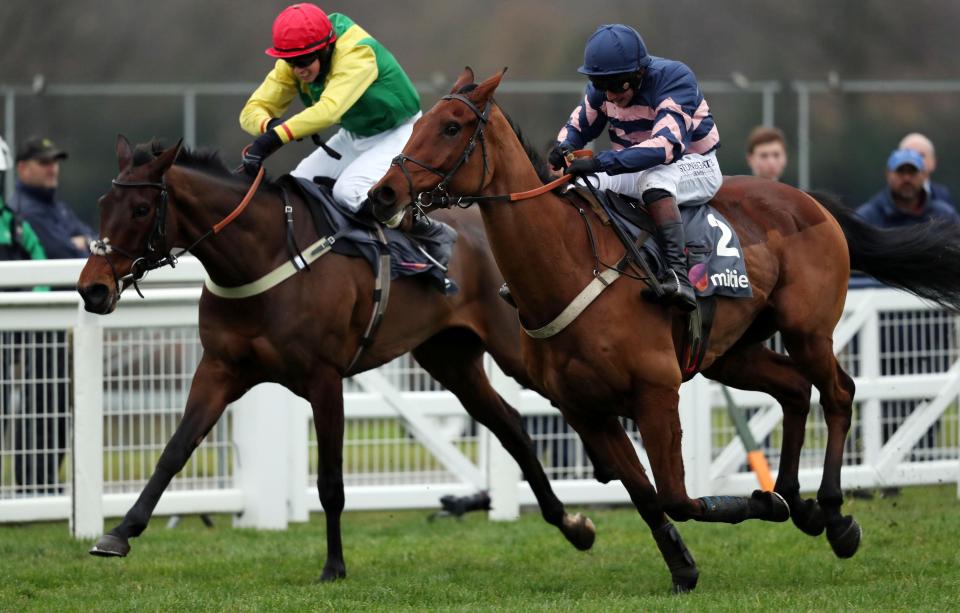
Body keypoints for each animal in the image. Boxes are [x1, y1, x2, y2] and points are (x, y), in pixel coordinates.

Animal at [77, 136, 600, 580]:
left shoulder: (324, 378)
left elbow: (330, 481)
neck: (262, 255)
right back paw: (571, 524)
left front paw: (333, 566)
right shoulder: (219, 369)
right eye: (102, 206)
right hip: (449, 358)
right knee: (511, 424)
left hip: (518, 345)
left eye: (141, 208)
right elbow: (174, 450)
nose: (92, 289)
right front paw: (119, 533)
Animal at [370, 69, 960, 592]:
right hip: (731, 353)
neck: (570, 266)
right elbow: (646, 495)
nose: (383, 194)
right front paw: (685, 567)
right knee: (794, 390)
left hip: (808, 330)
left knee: (837, 392)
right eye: (420, 124)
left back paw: (833, 514)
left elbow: (676, 494)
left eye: (451, 127)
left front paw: (756, 505)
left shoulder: (654, 391)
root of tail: (809, 200)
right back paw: (797, 500)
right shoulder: (584, 409)